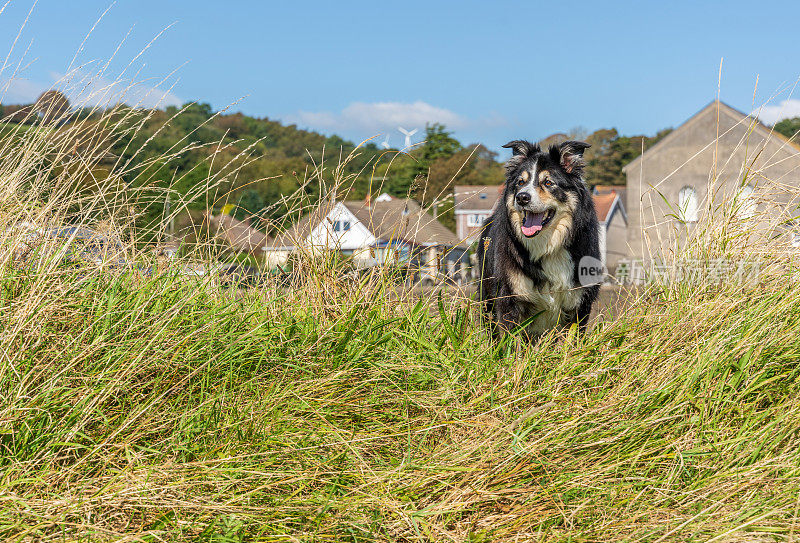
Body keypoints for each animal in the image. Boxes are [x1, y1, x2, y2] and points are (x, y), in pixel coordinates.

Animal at [476, 138, 600, 338]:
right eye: (520, 182)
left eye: (548, 182)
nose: (522, 197)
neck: (548, 245)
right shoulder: (509, 299)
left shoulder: (579, 304)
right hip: (487, 299)